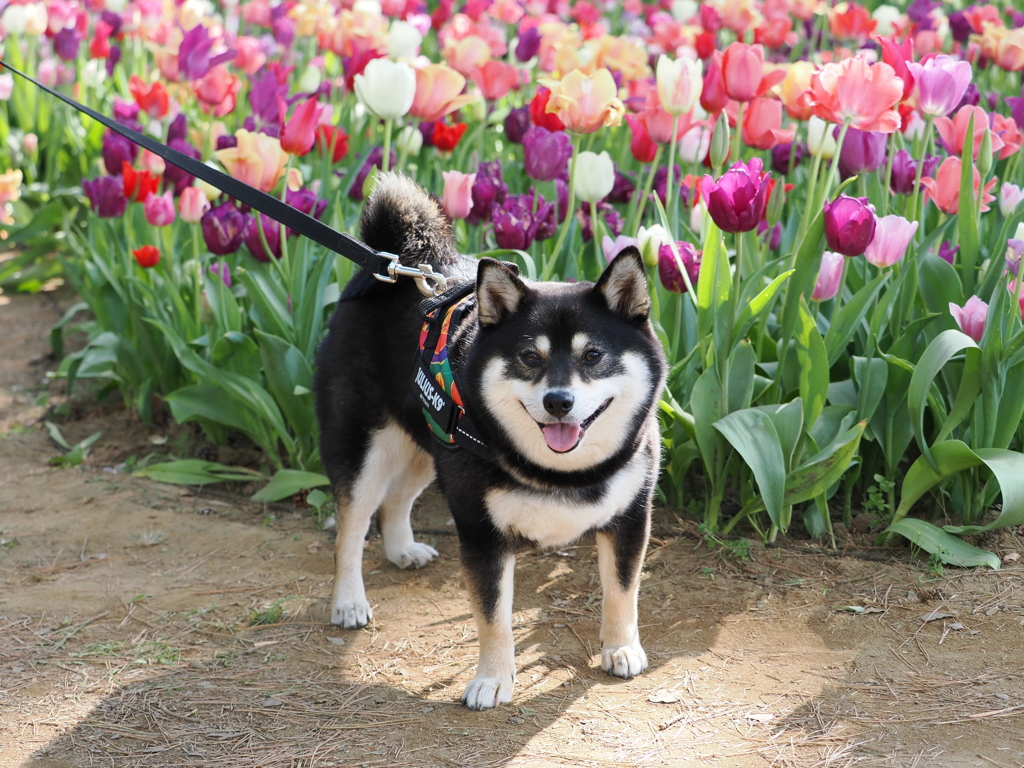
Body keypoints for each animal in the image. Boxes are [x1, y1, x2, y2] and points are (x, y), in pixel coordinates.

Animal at [311, 173, 667, 708]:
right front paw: (493, 680)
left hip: (430, 442)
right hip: (365, 448)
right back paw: (349, 600)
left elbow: (622, 591)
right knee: (352, 526)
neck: (562, 473)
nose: (558, 402)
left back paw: (401, 549)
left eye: (593, 355)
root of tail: (395, 268)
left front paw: (621, 648)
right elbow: (493, 616)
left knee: (396, 501)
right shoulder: (482, 533)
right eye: (529, 357)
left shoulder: (630, 516)